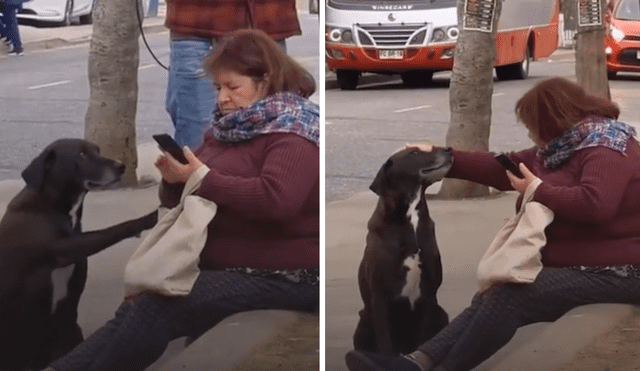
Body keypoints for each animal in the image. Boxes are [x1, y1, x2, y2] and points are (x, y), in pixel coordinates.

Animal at [0, 140, 158, 371]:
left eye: (98, 150)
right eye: (82, 155)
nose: (121, 166)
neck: (53, 204)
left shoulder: (68, 323)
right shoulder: (65, 248)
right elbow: (112, 230)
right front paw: (148, 219)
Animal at [352, 147, 452, 356]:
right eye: (413, 153)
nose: (449, 150)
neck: (410, 216)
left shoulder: (429, 294)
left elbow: (424, 337)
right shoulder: (379, 297)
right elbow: (384, 341)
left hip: (441, 314)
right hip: (363, 323)